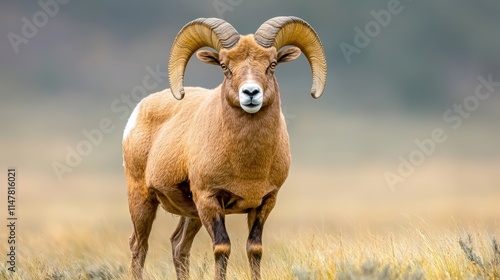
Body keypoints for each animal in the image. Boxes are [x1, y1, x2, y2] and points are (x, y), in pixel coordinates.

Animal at [124, 16, 328, 278]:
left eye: (272, 64)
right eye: (224, 66)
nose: (250, 93)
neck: (248, 167)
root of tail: (138, 111)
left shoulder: (264, 202)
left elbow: (254, 249)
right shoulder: (209, 200)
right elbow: (222, 248)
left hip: (191, 214)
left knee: (179, 246)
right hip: (142, 199)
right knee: (139, 246)